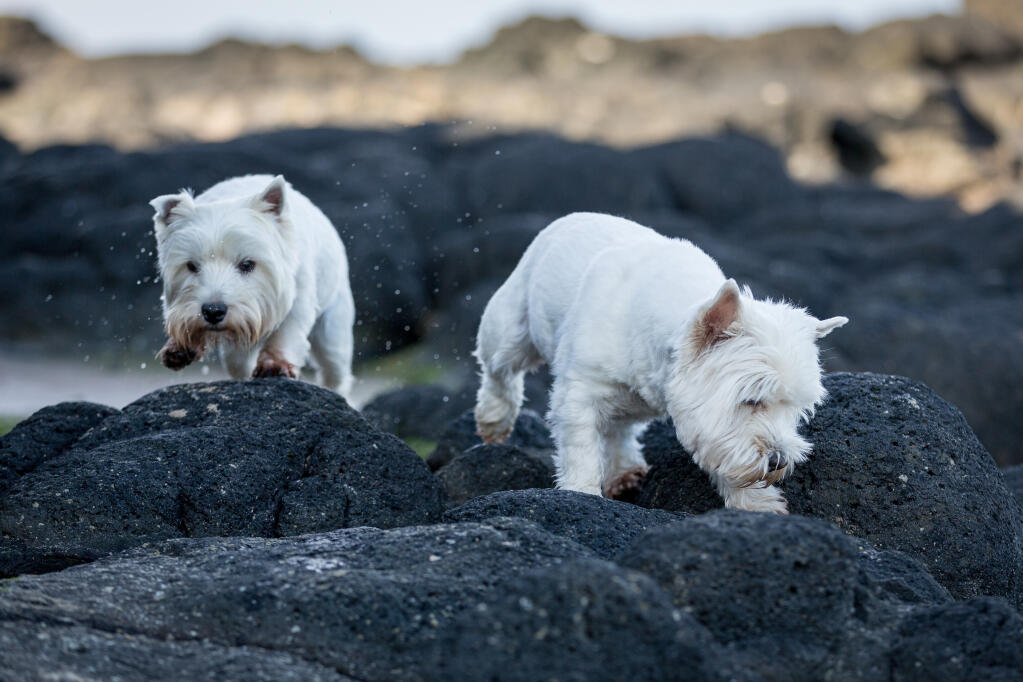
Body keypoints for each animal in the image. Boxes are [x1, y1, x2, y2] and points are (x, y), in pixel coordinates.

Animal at [148, 173, 356, 394]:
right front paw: (179, 348)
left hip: (334, 316)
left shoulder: (299, 289)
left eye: (247, 264)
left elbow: (289, 327)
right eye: (191, 265)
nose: (213, 311)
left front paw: (275, 365)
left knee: (333, 362)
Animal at [470, 213, 847, 511]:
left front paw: (756, 504)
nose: (778, 461)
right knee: (499, 368)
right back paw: (494, 418)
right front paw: (581, 493)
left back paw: (624, 470)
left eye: (797, 410)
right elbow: (581, 446)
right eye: (751, 400)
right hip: (511, 325)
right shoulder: (580, 392)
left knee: (619, 427)